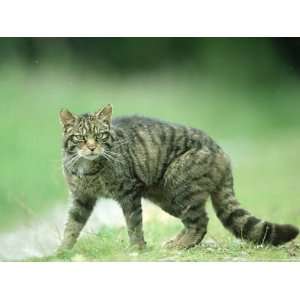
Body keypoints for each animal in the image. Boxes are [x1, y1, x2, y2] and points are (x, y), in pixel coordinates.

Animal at [57, 105, 298, 251]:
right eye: (79, 138)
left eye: (100, 136)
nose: (91, 147)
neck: (87, 168)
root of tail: (222, 152)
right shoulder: (81, 198)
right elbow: (71, 227)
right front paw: (61, 253)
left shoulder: (129, 193)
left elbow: (134, 226)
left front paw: (137, 250)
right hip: (168, 198)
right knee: (195, 221)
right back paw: (175, 241)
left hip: (180, 188)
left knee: (200, 222)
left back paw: (180, 246)